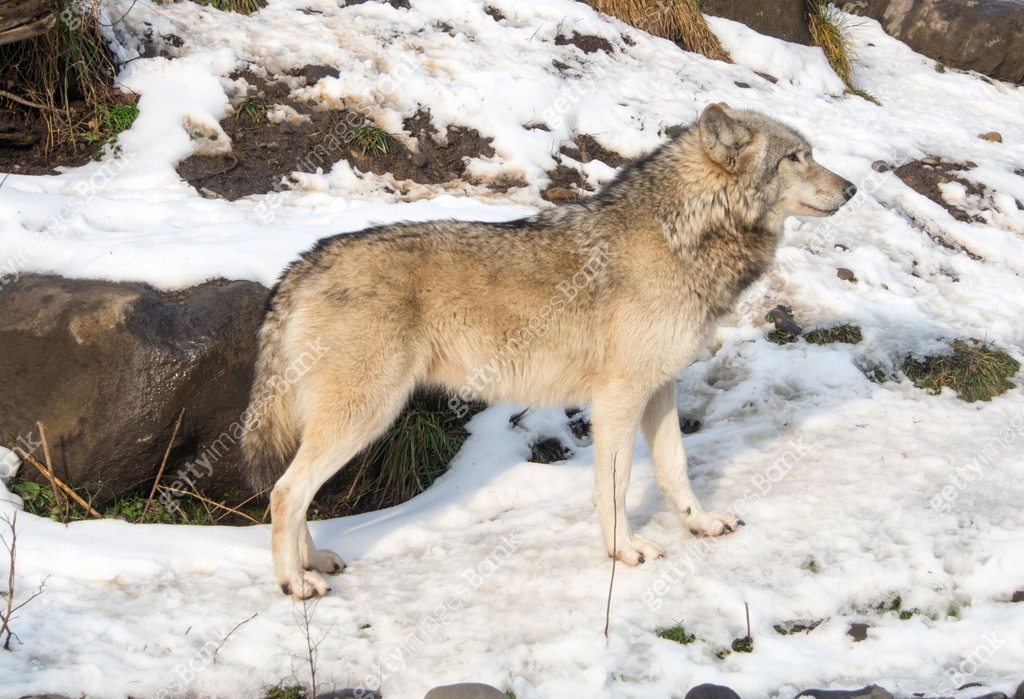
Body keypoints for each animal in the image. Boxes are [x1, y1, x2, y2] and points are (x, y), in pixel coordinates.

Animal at [242, 103, 856, 599]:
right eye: (796, 158)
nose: (852, 188)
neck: (684, 234)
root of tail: (302, 263)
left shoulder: (660, 388)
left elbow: (676, 470)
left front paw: (699, 526)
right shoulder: (618, 397)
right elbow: (616, 487)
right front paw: (624, 552)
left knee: (294, 492)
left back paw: (313, 561)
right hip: (367, 415)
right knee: (285, 491)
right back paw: (294, 583)